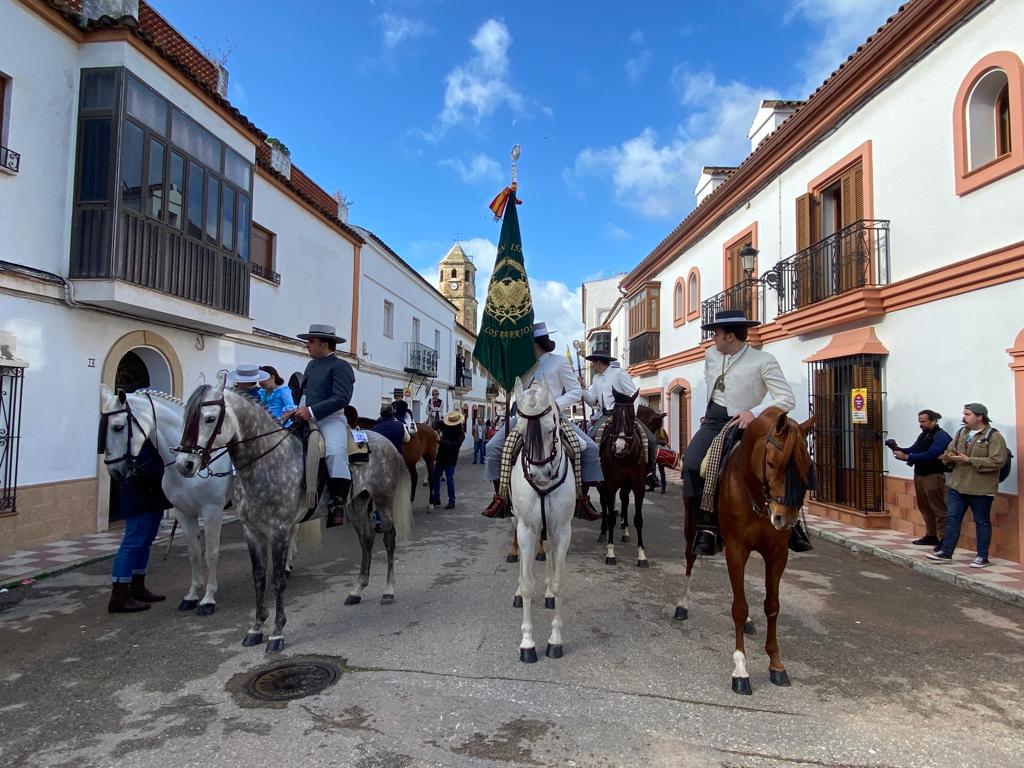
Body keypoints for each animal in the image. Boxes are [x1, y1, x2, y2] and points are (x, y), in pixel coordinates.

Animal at [98, 387, 233, 618]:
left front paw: (208, 599)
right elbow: (194, 552)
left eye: (118, 427)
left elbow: (211, 553)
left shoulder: (212, 511)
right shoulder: (183, 512)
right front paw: (192, 595)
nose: (114, 471)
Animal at [509, 376, 581, 663]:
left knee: (549, 553)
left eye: (552, 428)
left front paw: (555, 641)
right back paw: (518, 591)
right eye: (519, 428)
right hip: (517, 522)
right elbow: (528, 583)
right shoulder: (527, 528)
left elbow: (560, 581)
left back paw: (548, 593)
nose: (539, 475)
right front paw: (527, 644)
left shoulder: (562, 529)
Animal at [675, 409, 811, 696]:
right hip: (692, 526)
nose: (785, 519)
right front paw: (740, 669)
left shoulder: (777, 554)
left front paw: (776, 664)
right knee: (690, 557)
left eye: (807, 466)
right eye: (771, 463)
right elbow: (738, 606)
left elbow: (772, 605)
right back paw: (682, 605)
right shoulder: (737, 549)